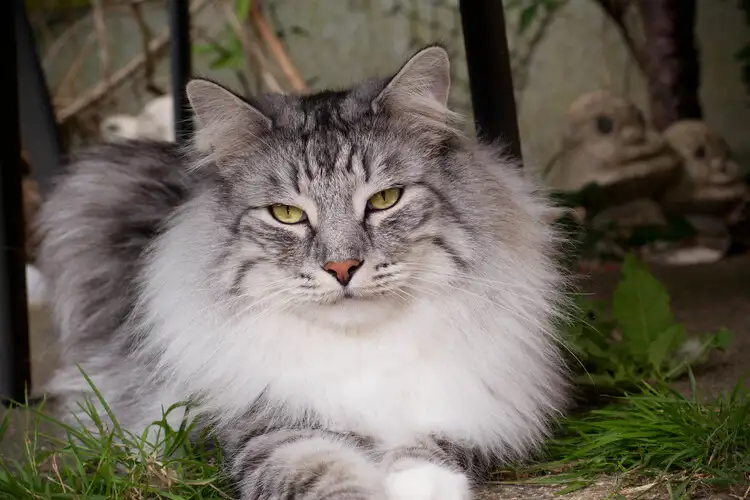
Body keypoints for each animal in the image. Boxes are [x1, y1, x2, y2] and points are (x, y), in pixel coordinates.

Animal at [36, 45, 568, 498]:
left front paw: (417, 485)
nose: (342, 267)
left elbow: (427, 450)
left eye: (384, 199)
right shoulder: (260, 431)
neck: (362, 352)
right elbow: (324, 475)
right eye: (286, 214)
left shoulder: (469, 414)